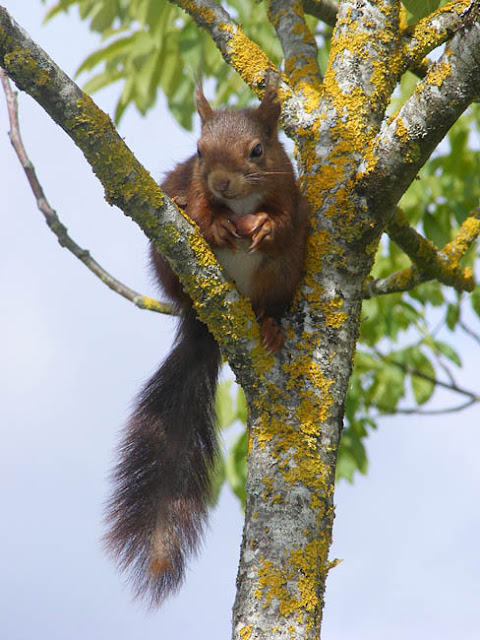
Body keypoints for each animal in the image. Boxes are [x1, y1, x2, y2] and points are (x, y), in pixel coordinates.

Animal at [103, 82, 310, 608]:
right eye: (198, 151)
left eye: (258, 150)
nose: (221, 184)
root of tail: (205, 325)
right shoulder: (186, 186)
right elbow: (191, 207)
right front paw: (213, 222)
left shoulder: (289, 191)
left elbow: (285, 218)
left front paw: (265, 226)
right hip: (170, 266)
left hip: (281, 277)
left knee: (271, 298)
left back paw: (269, 325)